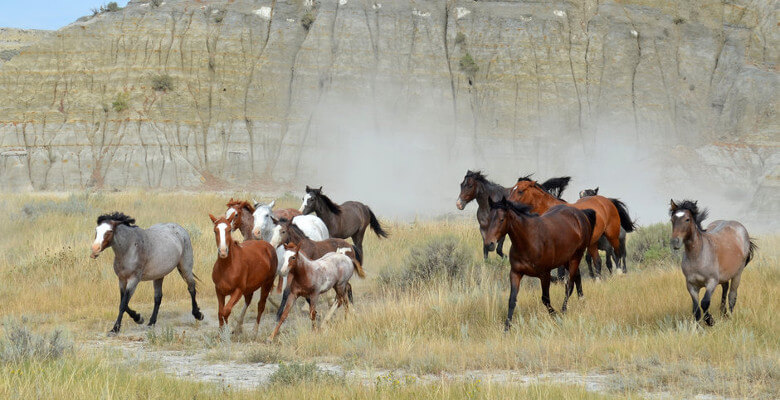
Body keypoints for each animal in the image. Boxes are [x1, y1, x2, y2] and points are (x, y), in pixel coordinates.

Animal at [484, 198, 595, 331]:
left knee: (570, 285)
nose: (489, 244)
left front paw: (556, 317)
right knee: (577, 277)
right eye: (488, 219)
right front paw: (506, 328)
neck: (529, 241)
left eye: (501, 219)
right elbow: (512, 300)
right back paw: (581, 301)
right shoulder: (515, 273)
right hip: (566, 260)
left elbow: (545, 299)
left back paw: (564, 311)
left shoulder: (544, 274)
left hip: (575, 258)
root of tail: (581, 214)